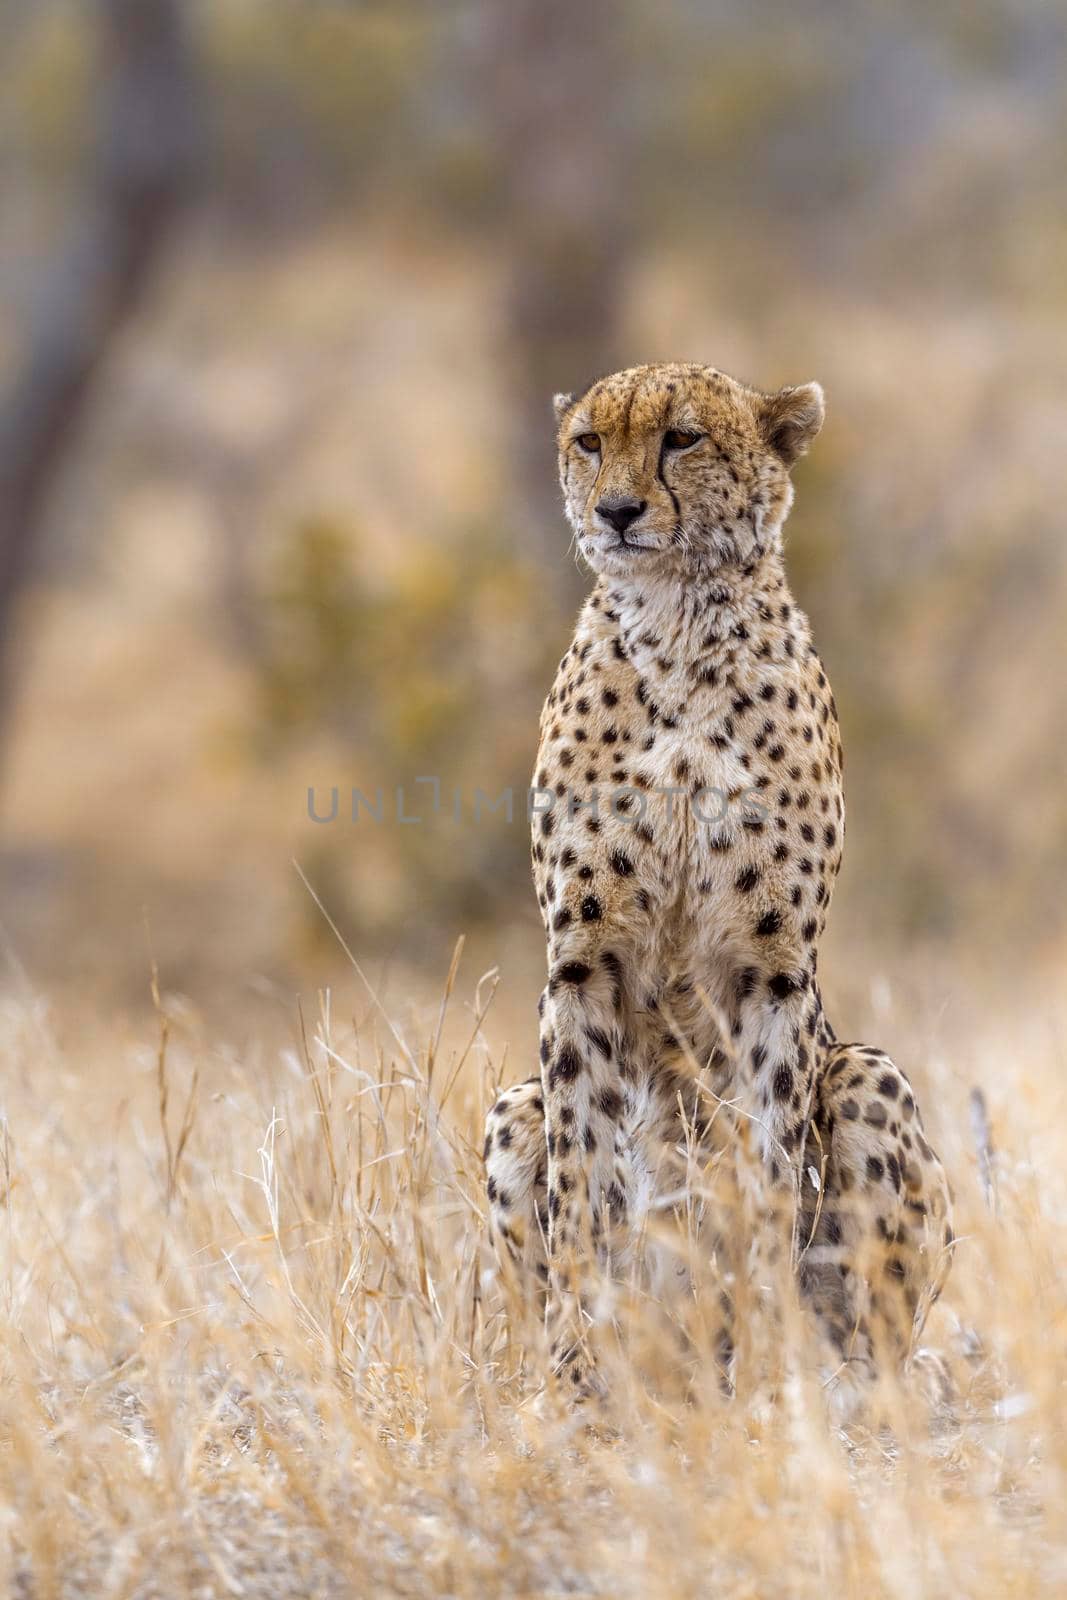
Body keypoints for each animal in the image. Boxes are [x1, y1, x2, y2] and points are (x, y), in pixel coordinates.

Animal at [483, 363, 953, 1401]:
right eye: (588, 441)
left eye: (682, 439)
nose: (617, 512)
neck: (675, 628)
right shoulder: (581, 961)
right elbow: (584, 1180)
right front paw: (575, 1368)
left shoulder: (770, 970)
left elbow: (768, 1175)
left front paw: (768, 1361)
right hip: (511, 1107)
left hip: (867, 1070)